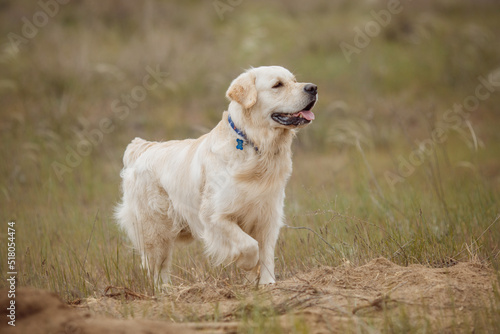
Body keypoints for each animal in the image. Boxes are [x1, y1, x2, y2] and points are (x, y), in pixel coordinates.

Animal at [115, 66, 316, 286]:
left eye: (294, 80)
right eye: (277, 85)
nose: (313, 88)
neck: (256, 147)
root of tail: (142, 148)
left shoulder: (269, 216)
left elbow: (266, 253)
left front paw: (266, 283)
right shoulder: (215, 216)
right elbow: (249, 245)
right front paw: (248, 265)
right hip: (156, 231)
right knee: (159, 269)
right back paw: (165, 291)